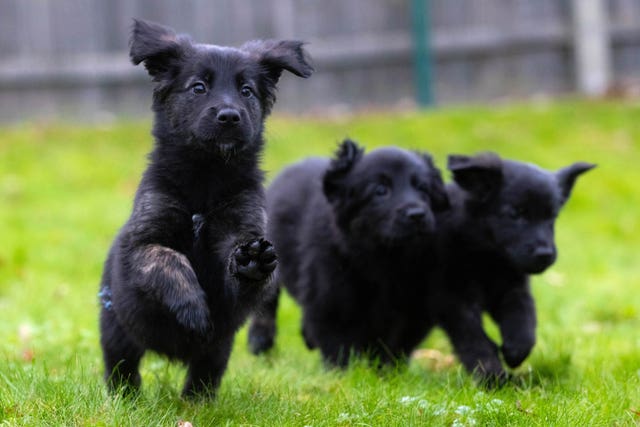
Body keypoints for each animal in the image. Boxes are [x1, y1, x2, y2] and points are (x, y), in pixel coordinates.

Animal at [248, 140, 448, 368]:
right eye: (380, 190)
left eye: (423, 188)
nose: (417, 214)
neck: (386, 260)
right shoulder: (329, 297)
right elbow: (338, 342)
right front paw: (345, 370)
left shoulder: (413, 307)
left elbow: (395, 344)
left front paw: (386, 370)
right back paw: (260, 340)